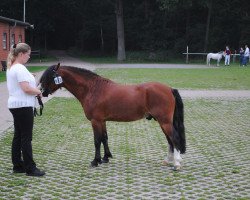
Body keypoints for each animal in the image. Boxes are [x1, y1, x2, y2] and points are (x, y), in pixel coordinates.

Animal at [38, 63, 185, 170]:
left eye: (49, 77)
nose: (42, 92)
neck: (92, 89)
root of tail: (169, 89)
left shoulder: (95, 121)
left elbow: (97, 140)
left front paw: (95, 161)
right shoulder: (102, 121)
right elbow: (104, 138)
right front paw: (105, 158)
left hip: (164, 121)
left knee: (174, 138)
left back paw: (176, 164)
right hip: (163, 122)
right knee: (170, 140)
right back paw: (168, 160)